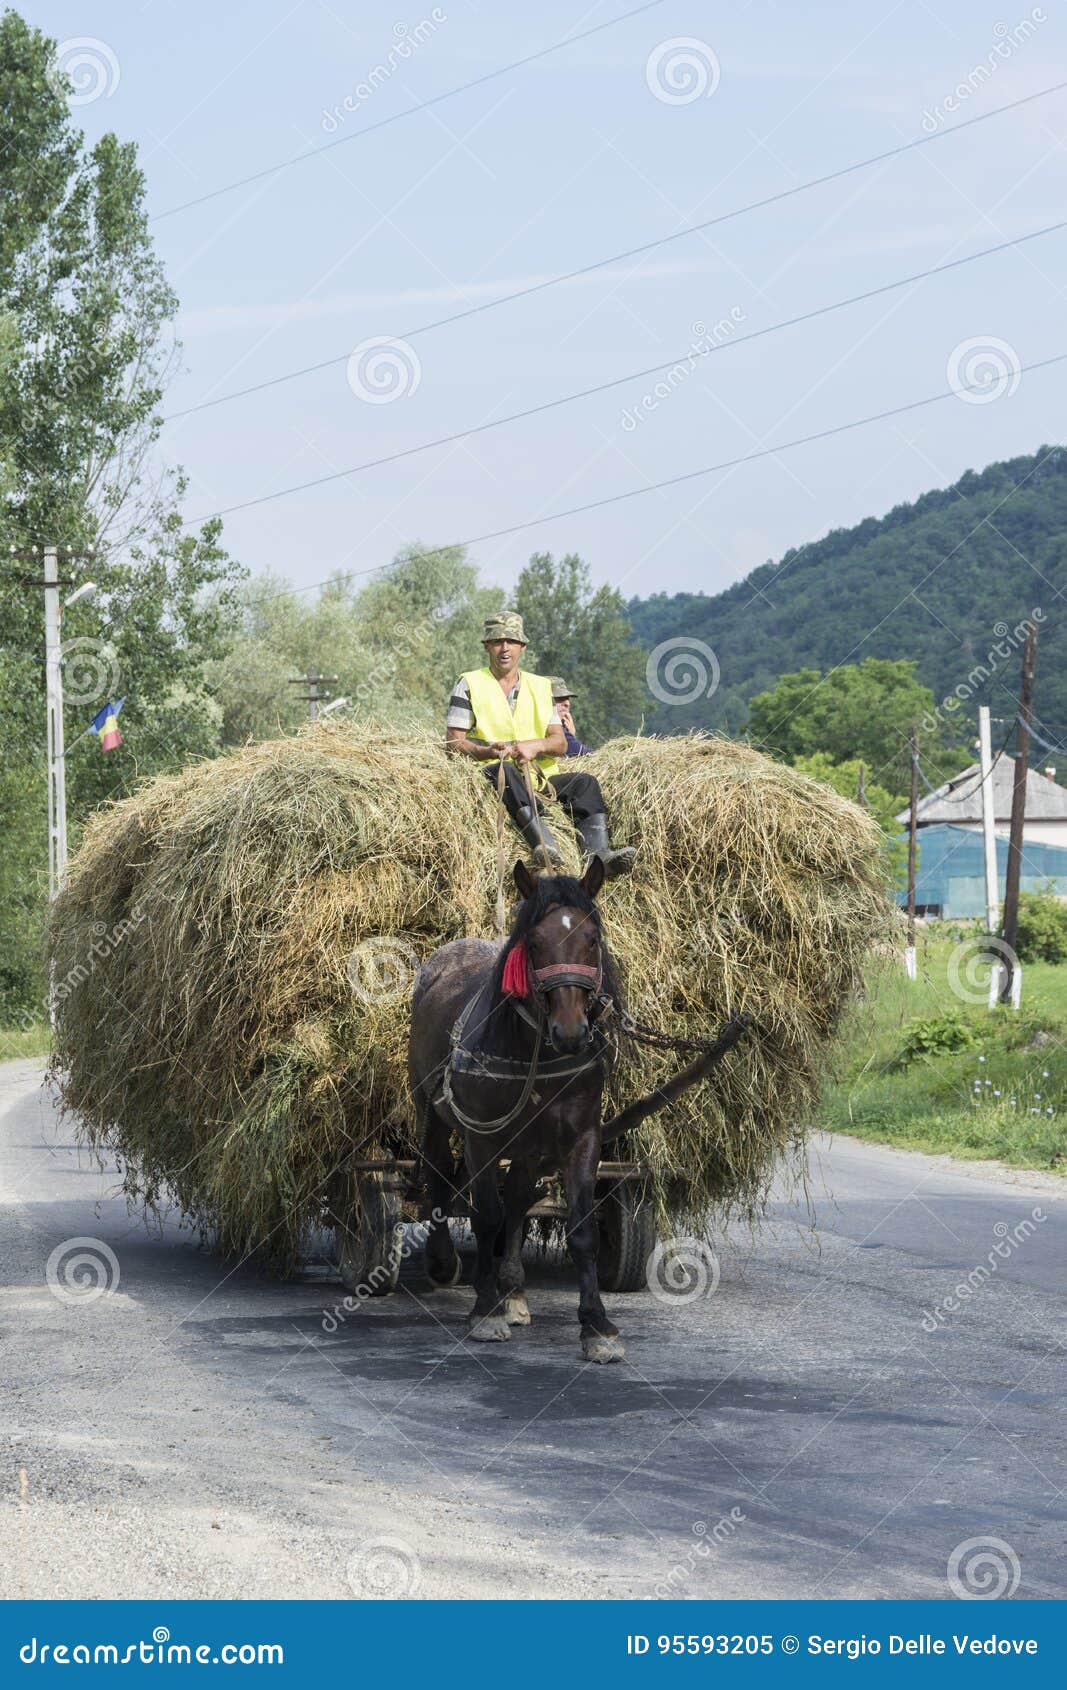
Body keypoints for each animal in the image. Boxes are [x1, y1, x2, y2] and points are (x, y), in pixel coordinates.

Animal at [409, 858, 750, 1358]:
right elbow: (485, 1215)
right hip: (432, 1113)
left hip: (530, 1146)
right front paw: (485, 1311)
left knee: (518, 1199)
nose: (570, 1031)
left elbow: (580, 1231)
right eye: (534, 941)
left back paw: (515, 1290)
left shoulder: (581, 1140)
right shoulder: (481, 1140)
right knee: (436, 1177)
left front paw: (597, 1326)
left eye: (592, 938)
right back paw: (444, 1262)